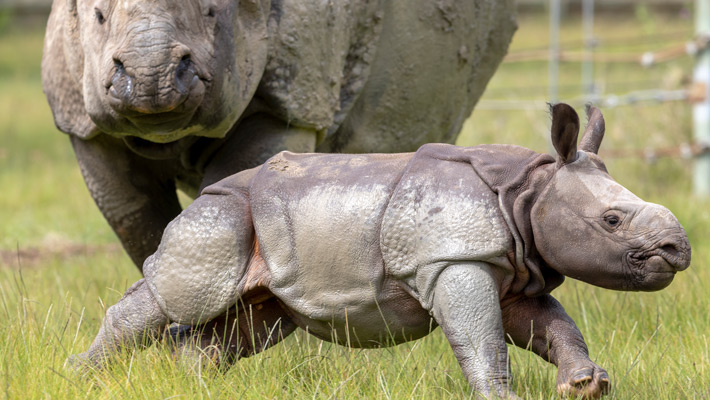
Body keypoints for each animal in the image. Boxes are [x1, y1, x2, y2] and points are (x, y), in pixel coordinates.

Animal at [41, 0, 516, 270]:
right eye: (98, 17)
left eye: (212, 14)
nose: (150, 80)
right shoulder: (85, 127)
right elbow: (139, 225)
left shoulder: (288, 103)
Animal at [69, 104, 692, 398]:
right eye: (612, 220)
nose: (679, 250)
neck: (528, 191)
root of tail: (202, 194)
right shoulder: (454, 257)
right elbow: (483, 338)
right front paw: (501, 396)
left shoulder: (515, 266)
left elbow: (553, 327)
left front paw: (586, 386)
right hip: (218, 217)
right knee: (176, 297)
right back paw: (81, 376)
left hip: (257, 231)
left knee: (248, 327)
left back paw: (191, 387)